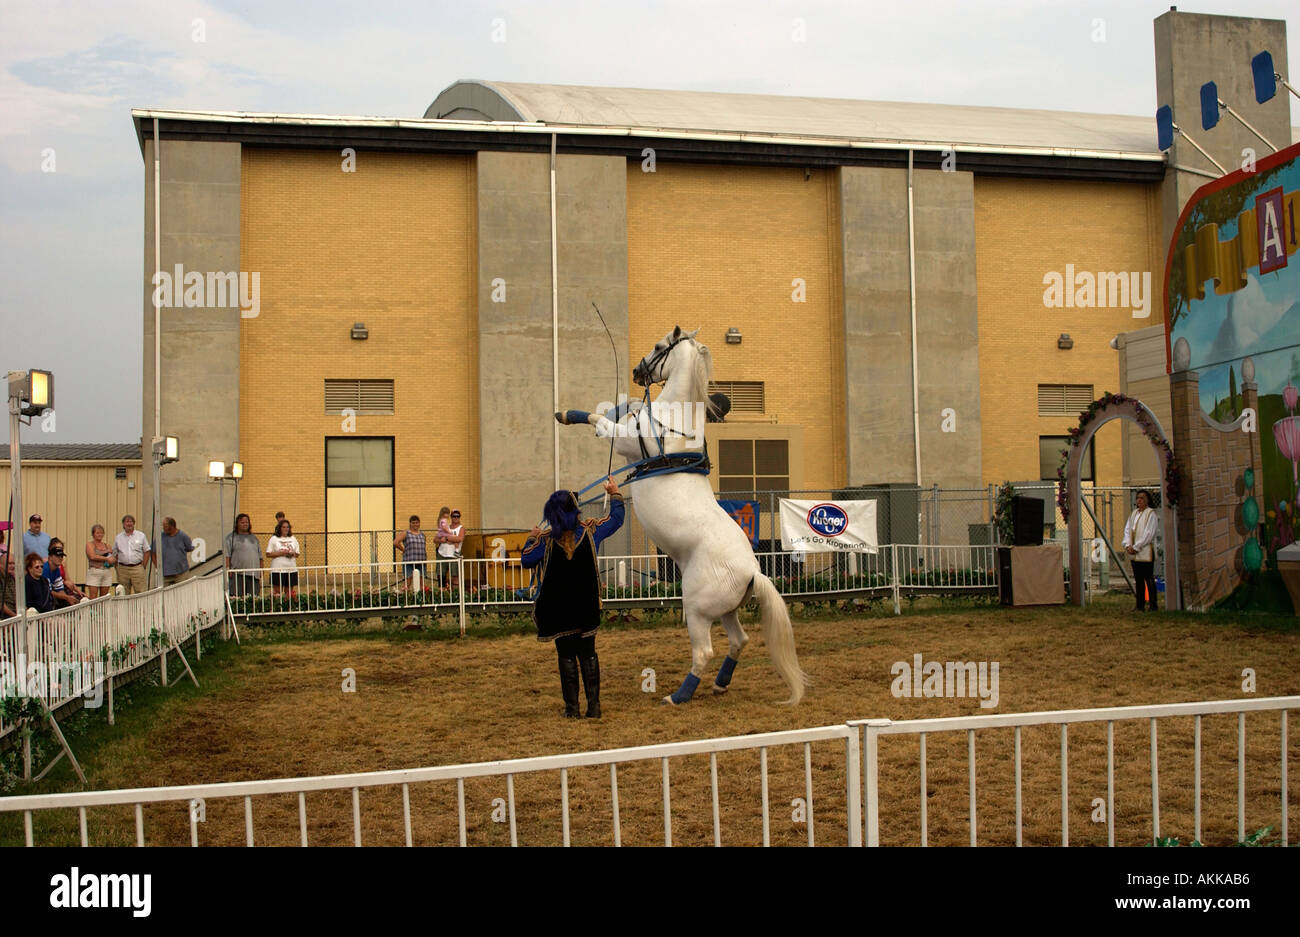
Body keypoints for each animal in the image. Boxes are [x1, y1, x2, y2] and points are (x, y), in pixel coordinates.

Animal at [553, 327, 806, 701]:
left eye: (659, 346)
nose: (637, 371)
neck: (672, 426)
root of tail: (752, 573)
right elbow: (630, 403)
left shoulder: (624, 440)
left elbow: (601, 420)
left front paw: (566, 414)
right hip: (726, 612)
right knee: (739, 641)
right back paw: (719, 684)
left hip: (698, 610)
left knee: (704, 652)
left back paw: (678, 696)